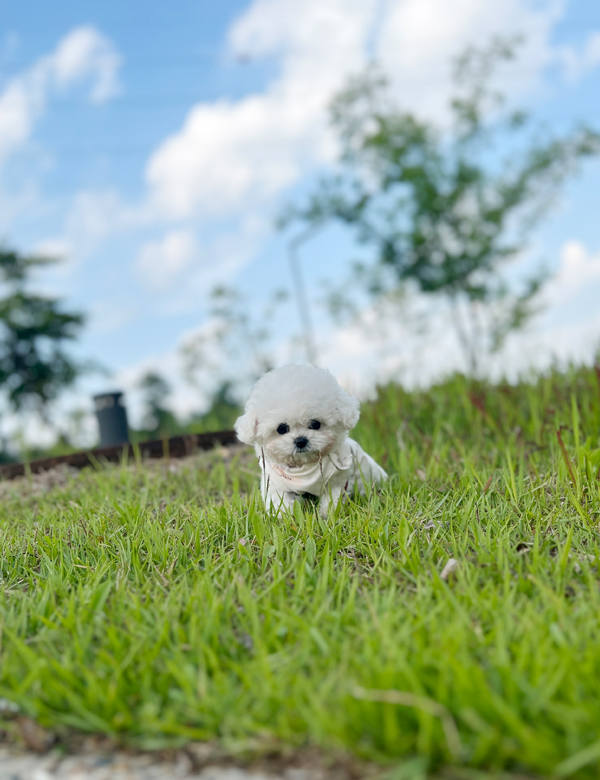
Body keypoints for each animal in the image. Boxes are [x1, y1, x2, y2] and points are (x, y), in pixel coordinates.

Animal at [234, 366, 384, 516]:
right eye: (282, 428)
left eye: (315, 424)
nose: (301, 441)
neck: (304, 468)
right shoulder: (275, 481)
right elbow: (279, 499)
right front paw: (284, 515)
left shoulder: (338, 477)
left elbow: (333, 497)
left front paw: (327, 514)